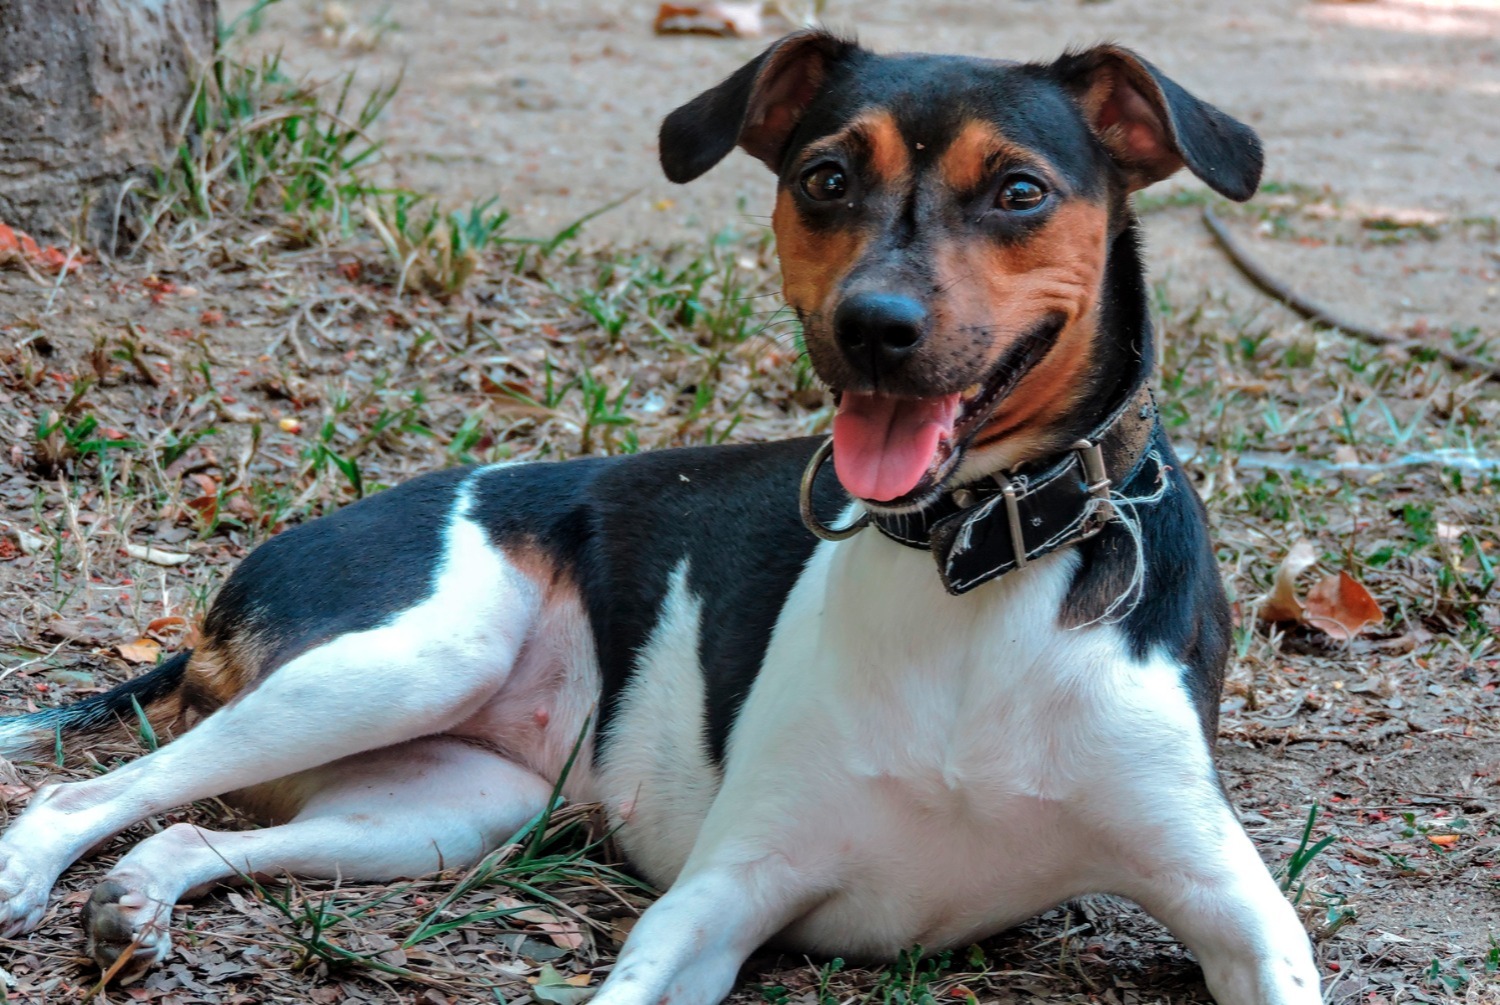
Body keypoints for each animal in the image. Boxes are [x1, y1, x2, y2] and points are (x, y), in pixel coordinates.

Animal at [0, 27, 1326, 1005]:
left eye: (1018, 192)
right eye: (824, 179)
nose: (875, 327)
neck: (975, 564)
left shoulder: (1237, 908)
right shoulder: (723, 893)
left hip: (446, 808)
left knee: (186, 833)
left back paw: (137, 902)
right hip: (409, 659)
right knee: (93, 793)